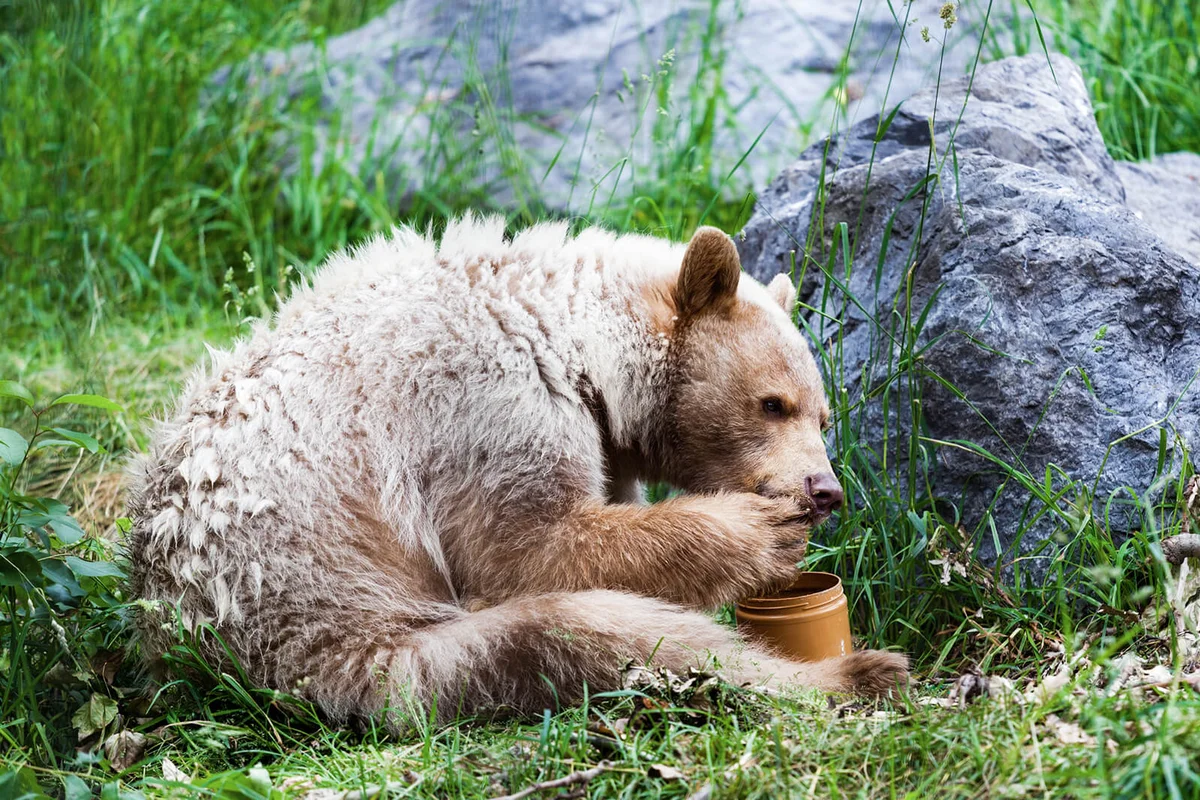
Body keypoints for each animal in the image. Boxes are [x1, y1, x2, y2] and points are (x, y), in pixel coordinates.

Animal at [128, 217, 908, 729]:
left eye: (825, 416)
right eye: (773, 403)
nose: (823, 490)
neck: (570, 337)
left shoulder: (596, 442)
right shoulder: (484, 405)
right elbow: (531, 548)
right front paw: (759, 531)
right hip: (348, 628)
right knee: (590, 636)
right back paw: (853, 674)